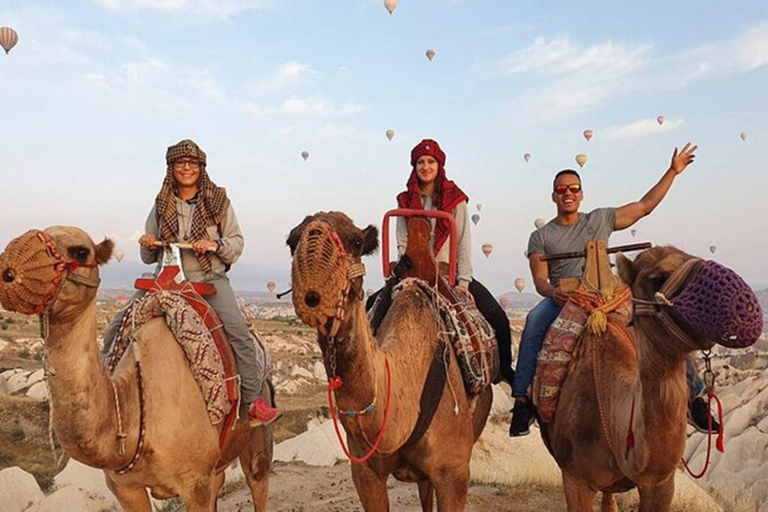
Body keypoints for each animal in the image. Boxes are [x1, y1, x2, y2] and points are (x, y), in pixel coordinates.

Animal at [0, 228, 272, 512]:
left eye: (81, 252)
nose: (10, 267)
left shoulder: (197, 482)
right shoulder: (124, 487)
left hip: (257, 434)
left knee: (258, 479)